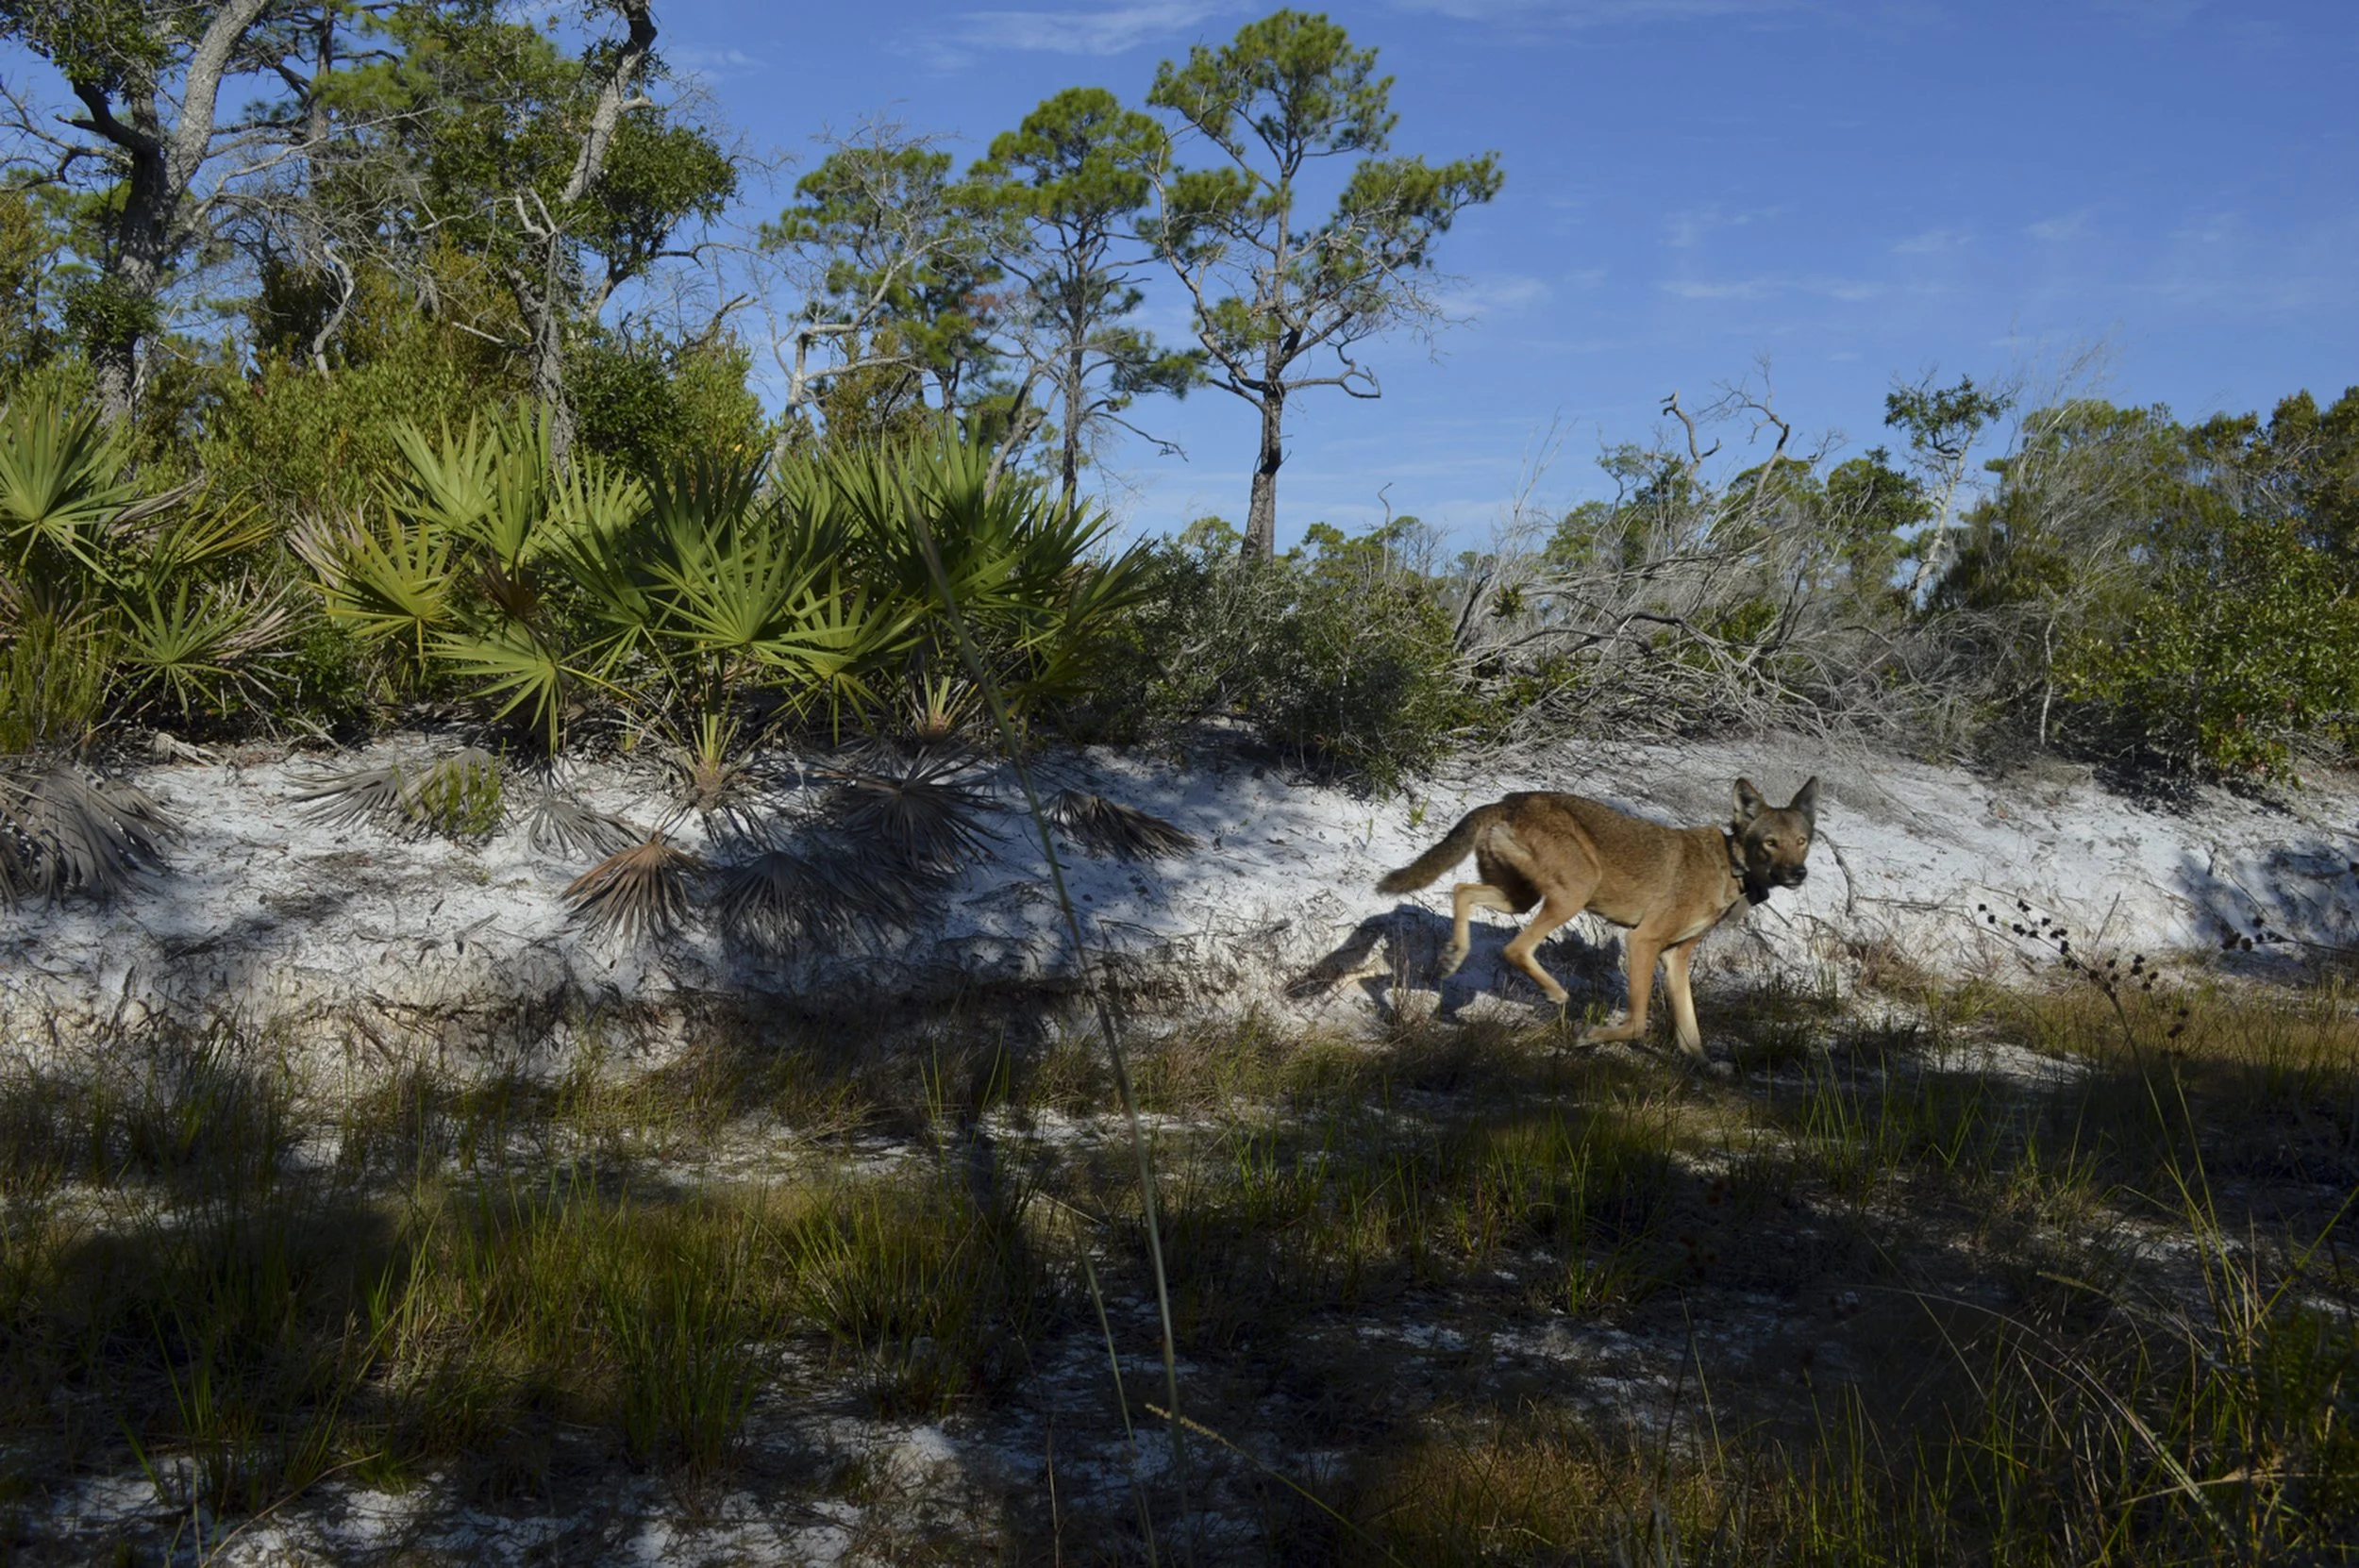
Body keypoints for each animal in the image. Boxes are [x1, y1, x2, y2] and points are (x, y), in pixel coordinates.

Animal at [1375, 778, 1820, 1063]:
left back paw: (1453, 956)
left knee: (1461, 891)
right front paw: (1589, 1037)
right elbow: (1638, 1022)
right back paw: (1555, 993)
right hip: (1573, 893)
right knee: (1514, 947)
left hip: (1521, 898)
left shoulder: (1675, 958)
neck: (1729, 867)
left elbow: (1690, 1029)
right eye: (1770, 843)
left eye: (1802, 842)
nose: (1800, 874)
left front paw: (1706, 1066)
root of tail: (1509, 799)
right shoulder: (1642, 943)